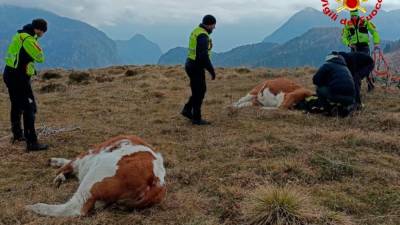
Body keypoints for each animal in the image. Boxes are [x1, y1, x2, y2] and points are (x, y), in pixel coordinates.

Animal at [25, 135, 166, 216]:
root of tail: (157, 181)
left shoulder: (82, 158)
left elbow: (69, 164)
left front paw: (56, 165)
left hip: (94, 178)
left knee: (75, 208)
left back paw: (34, 207)